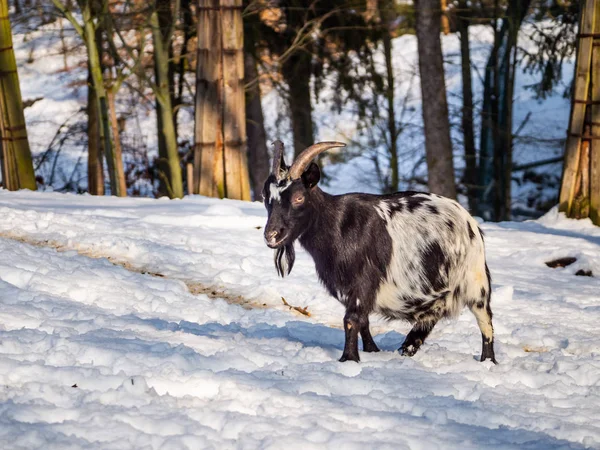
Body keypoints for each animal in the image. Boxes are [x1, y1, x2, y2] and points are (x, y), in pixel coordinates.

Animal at [262, 141, 496, 366]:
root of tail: (470, 222)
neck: (337, 226)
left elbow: (351, 320)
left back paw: (487, 361)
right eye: (266, 197)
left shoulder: (363, 282)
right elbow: (363, 321)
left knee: (485, 321)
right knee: (434, 312)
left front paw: (349, 360)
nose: (271, 235)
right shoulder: (354, 290)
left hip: (475, 282)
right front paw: (372, 351)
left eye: (299, 198)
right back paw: (408, 347)